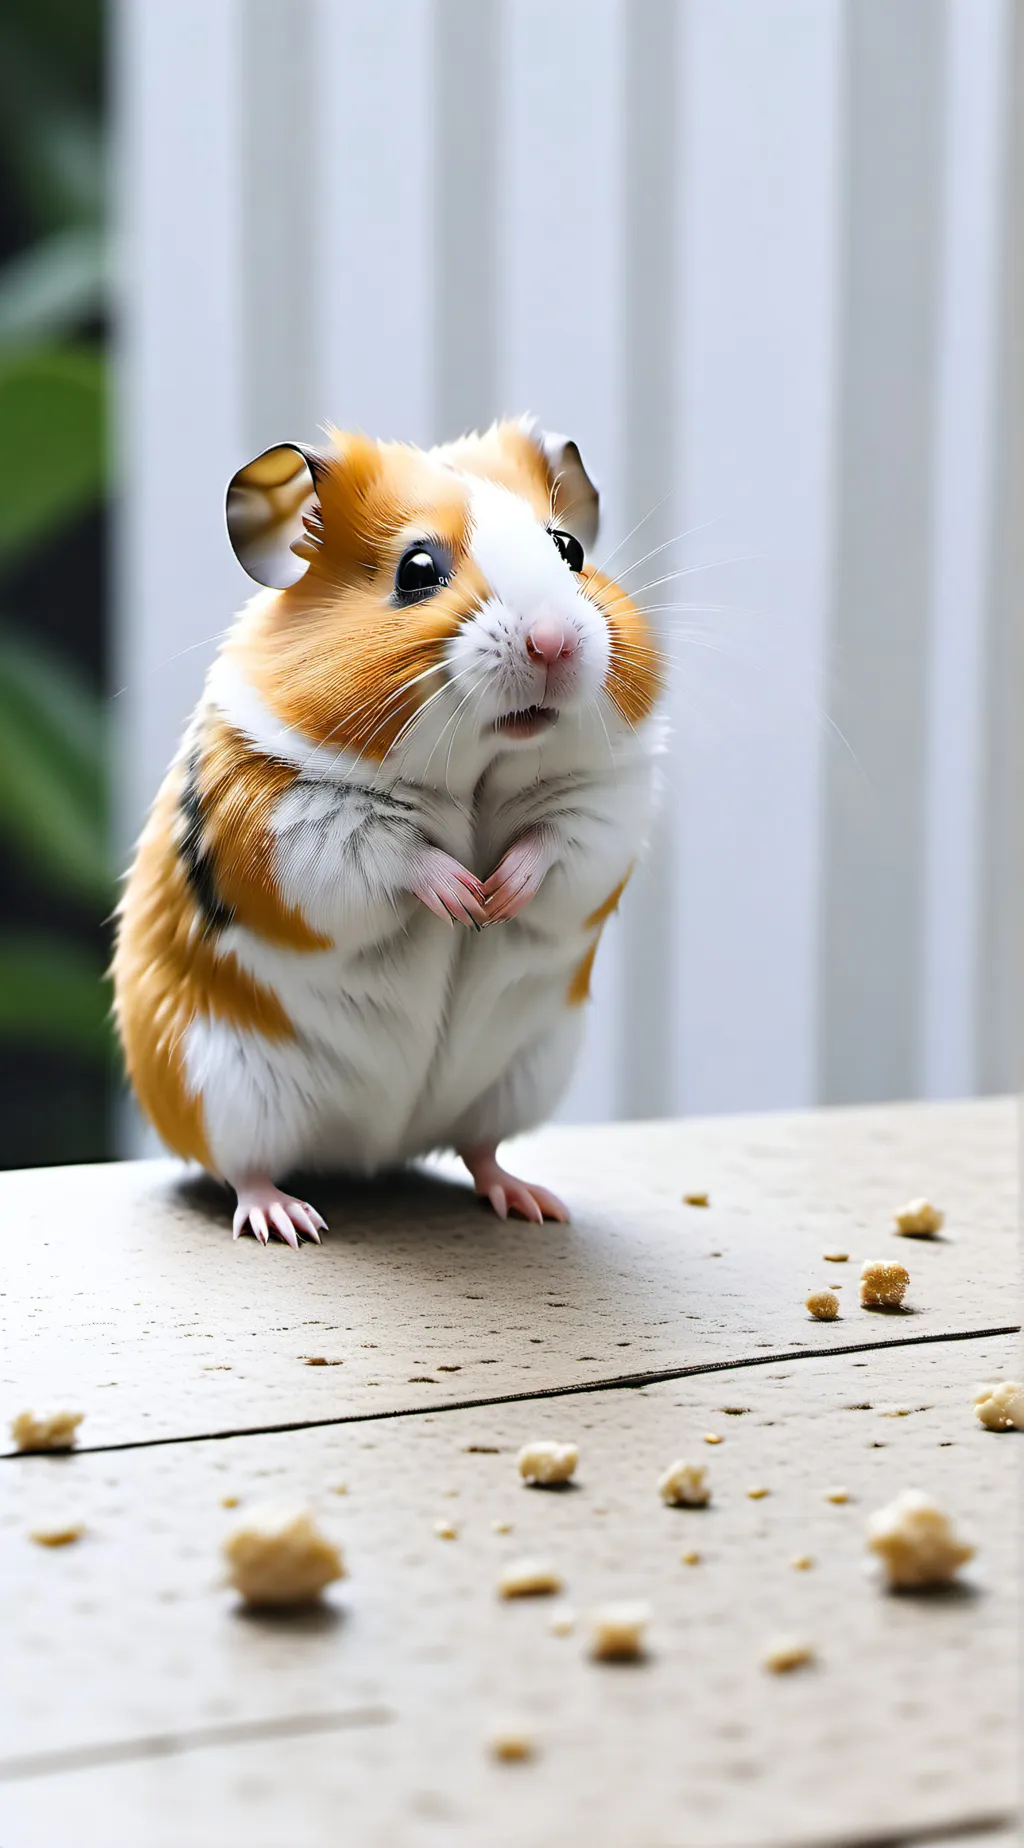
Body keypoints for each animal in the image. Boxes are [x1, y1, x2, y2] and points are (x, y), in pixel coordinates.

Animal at [112, 418, 665, 1245]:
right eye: (417, 570)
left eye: (569, 549)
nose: (553, 644)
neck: (478, 778)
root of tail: (370, 1150)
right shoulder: (293, 821)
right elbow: (398, 856)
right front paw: (467, 899)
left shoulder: (601, 808)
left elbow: (551, 848)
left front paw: (497, 897)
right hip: (221, 1086)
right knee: (245, 1171)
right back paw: (290, 1222)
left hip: (521, 1078)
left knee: (478, 1150)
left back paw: (533, 1203)